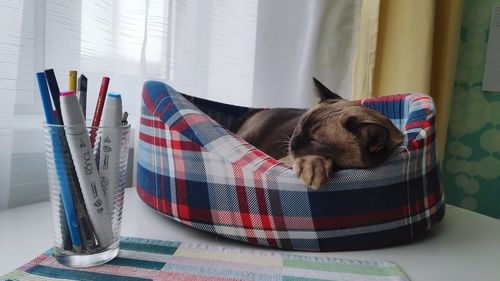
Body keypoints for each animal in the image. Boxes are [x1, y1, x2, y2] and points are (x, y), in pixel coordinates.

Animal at [232, 77, 404, 189]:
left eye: (317, 141)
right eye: (300, 125)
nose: (292, 144)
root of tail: (257, 110)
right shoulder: (285, 160)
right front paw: (313, 168)